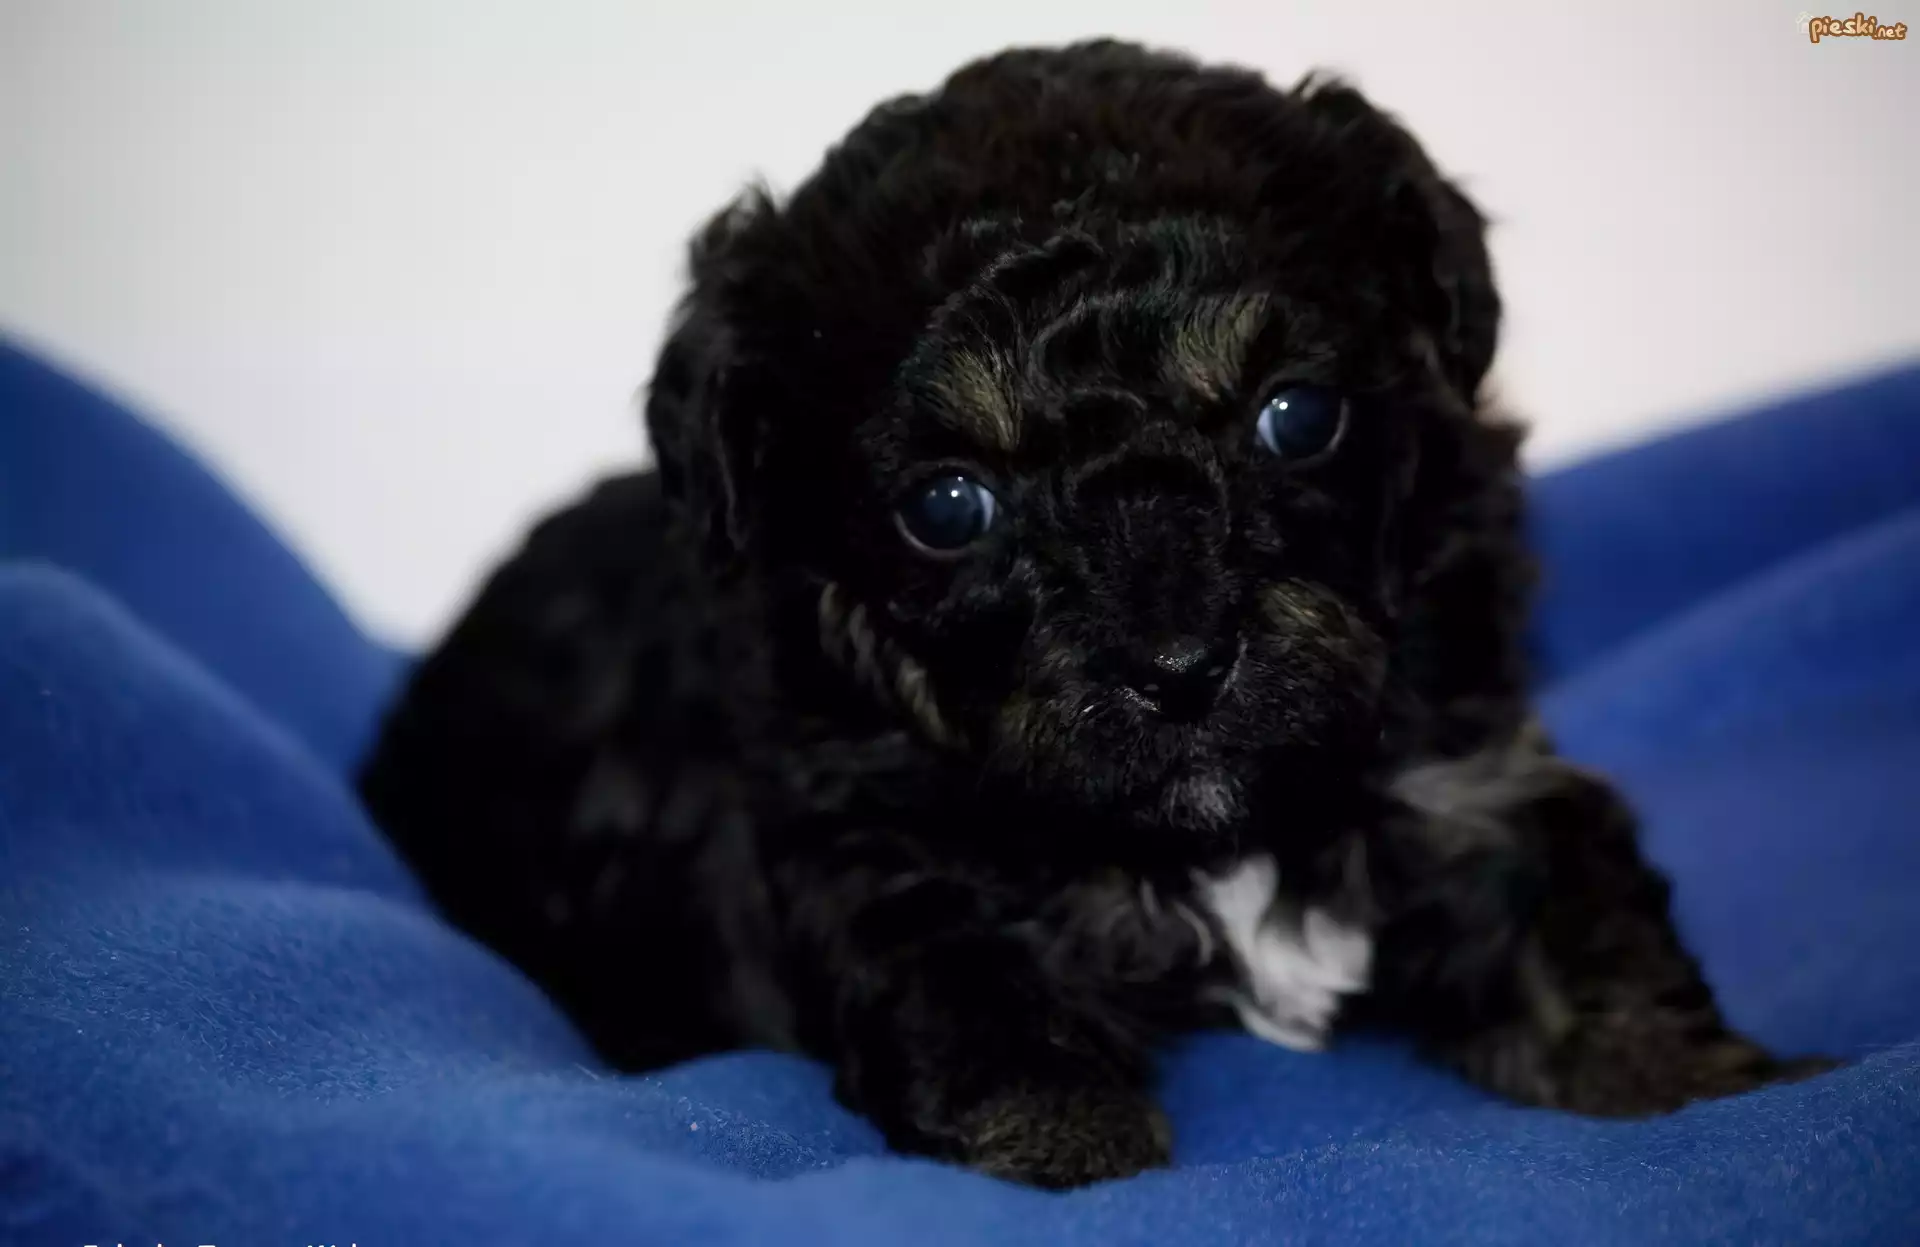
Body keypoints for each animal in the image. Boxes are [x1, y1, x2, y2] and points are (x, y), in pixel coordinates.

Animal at [357, 40, 1831, 1188]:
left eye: (1296, 415)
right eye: (949, 504)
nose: (1181, 669)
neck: (1214, 832)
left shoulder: (1470, 769)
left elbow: (1582, 931)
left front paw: (1695, 1077)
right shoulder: (882, 862)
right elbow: (986, 1018)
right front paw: (1066, 1142)